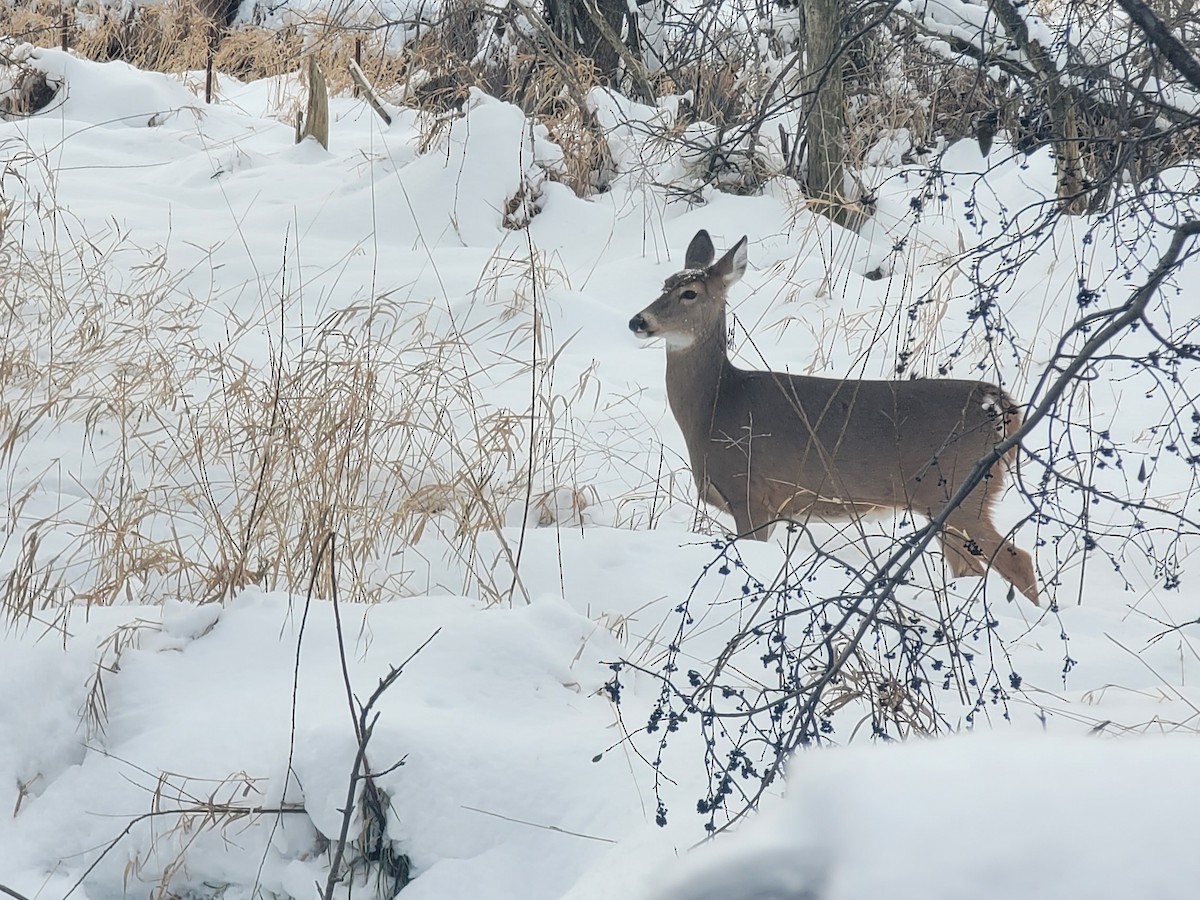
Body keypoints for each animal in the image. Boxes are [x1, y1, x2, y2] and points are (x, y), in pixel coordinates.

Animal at [629, 230, 1040, 604]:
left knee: (1019, 560)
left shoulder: (752, 493)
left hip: (958, 489)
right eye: (664, 284)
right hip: (947, 500)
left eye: (690, 293)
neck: (718, 406)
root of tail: (998, 404)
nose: (638, 321)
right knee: (971, 568)